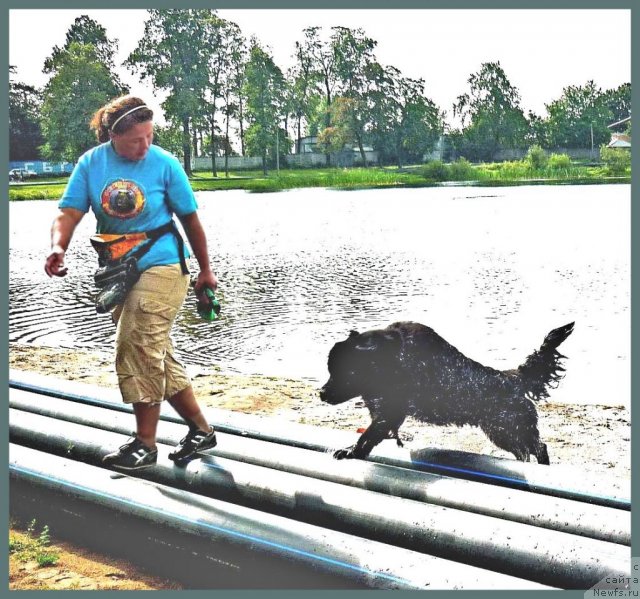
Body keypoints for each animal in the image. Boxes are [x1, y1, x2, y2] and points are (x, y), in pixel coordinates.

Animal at [320, 322, 576, 466]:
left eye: (347, 372)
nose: (321, 393)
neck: (395, 356)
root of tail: (514, 378)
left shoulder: (391, 411)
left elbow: (367, 437)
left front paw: (350, 452)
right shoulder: (384, 410)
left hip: (509, 429)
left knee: (540, 449)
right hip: (505, 433)